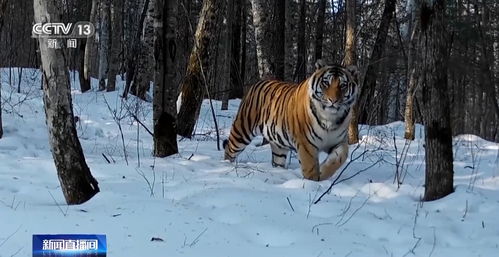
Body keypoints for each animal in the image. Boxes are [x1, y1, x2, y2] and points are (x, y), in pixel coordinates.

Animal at [223, 60, 360, 180]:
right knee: (229, 149)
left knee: (277, 160)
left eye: (343, 85)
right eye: (326, 83)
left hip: (278, 145)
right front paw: (313, 182)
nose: (333, 100)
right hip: (242, 131)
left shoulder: (339, 141)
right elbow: (310, 166)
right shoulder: (306, 143)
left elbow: (341, 157)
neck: (329, 118)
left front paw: (323, 172)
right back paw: (226, 165)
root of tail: (257, 83)